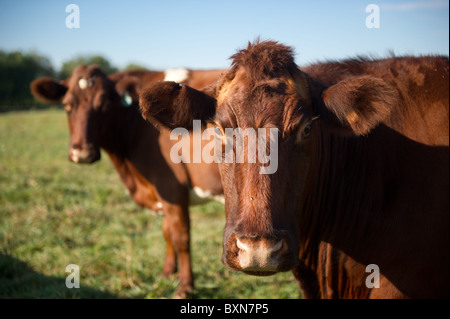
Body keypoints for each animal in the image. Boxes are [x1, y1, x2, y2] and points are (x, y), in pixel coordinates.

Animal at [29, 65, 225, 300]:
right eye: (67, 104)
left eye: (104, 105)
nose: (82, 154)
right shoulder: (163, 194)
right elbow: (167, 232)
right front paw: (167, 273)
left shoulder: (172, 189)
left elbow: (181, 238)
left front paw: (185, 287)